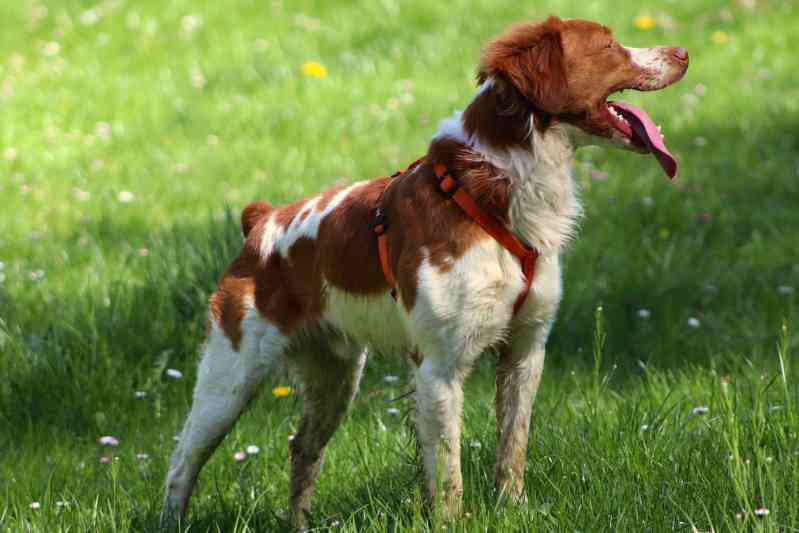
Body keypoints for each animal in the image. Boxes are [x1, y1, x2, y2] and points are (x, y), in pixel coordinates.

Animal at [158, 14, 688, 528]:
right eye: (608, 45)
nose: (683, 52)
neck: (497, 191)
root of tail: (262, 224)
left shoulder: (525, 349)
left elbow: (512, 447)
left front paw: (512, 509)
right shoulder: (440, 365)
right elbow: (448, 470)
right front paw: (454, 519)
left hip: (335, 377)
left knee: (302, 448)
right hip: (230, 376)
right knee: (182, 461)